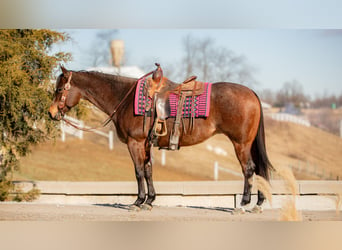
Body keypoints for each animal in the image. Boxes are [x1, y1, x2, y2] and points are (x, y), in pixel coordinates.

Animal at [48, 65, 272, 213]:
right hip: (248, 144)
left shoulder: (135, 143)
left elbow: (138, 172)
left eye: (59, 89)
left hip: (241, 144)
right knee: (259, 170)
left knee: (249, 170)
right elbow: (148, 171)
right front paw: (149, 201)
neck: (124, 99)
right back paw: (258, 204)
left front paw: (137, 202)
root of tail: (252, 93)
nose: (51, 113)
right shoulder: (146, 145)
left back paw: (243, 205)